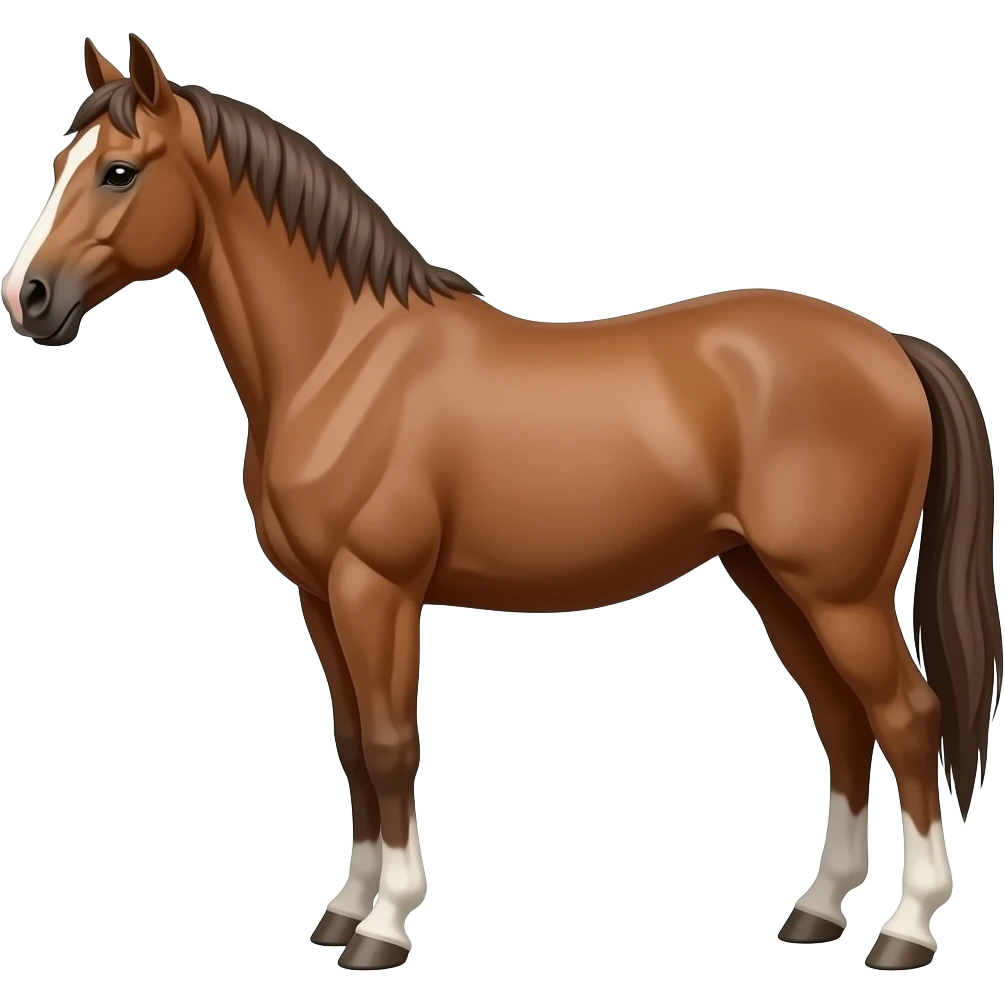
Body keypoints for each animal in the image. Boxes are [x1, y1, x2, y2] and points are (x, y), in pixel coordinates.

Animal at [2, 34, 999, 973]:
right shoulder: (320, 597)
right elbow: (351, 744)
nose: (29, 298)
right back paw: (819, 910)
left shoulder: (376, 589)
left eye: (120, 170)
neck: (342, 361)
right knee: (842, 720)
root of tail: (890, 346)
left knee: (907, 718)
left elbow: (392, 745)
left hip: (840, 592)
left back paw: (905, 930)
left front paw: (385, 925)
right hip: (774, 581)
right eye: (58, 163)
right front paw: (342, 910)